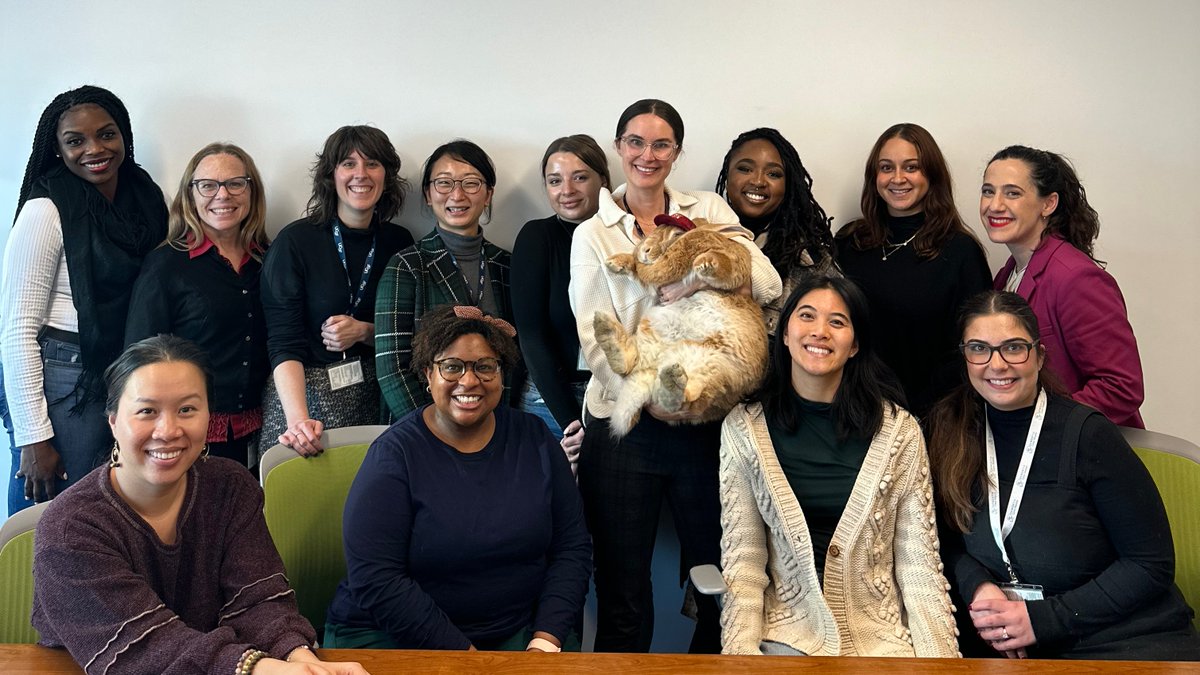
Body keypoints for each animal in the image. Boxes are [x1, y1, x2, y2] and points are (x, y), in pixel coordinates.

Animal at [592, 214, 768, 437]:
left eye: (676, 234)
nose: (645, 249)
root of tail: (652, 370)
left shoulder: (736, 264)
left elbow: (725, 266)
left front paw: (706, 263)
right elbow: (638, 272)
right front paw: (615, 262)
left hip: (717, 373)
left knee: (687, 402)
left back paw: (672, 380)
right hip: (651, 337)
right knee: (629, 364)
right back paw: (605, 329)